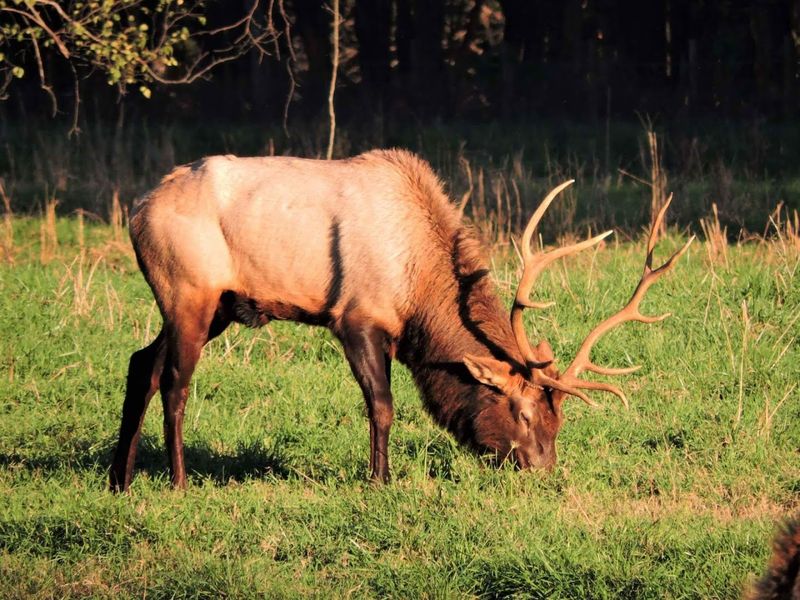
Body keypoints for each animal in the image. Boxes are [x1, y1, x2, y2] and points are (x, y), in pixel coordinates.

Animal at [109, 149, 692, 492]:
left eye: (560, 420)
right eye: (525, 414)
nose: (543, 472)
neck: (419, 295)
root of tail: (136, 211)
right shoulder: (356, 317)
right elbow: (383, 406)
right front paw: (379, 481)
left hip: (219, 306)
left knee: (141, 363)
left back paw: (122, 479)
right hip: (190, 291)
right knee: (175, 381)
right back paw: (178, 482)